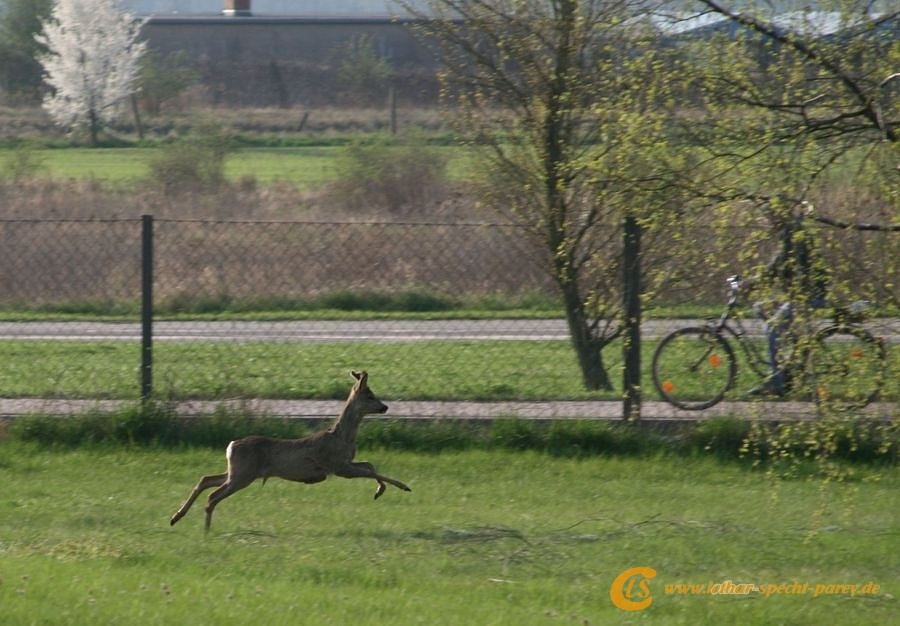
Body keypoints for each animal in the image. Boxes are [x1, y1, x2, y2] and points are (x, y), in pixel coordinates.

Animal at [171, 370, 414, 532]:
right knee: (213, 494)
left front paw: (380, 491)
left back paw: (176, 517)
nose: (385, 407)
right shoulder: (336, 465)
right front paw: (402, 486)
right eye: (370, 395)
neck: (341, 437)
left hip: (238, 470)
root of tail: (230, 446)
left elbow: (370, 465)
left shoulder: (342, 464)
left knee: (206, 479)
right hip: (243, 474)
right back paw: (205, 529)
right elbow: (371, 470)